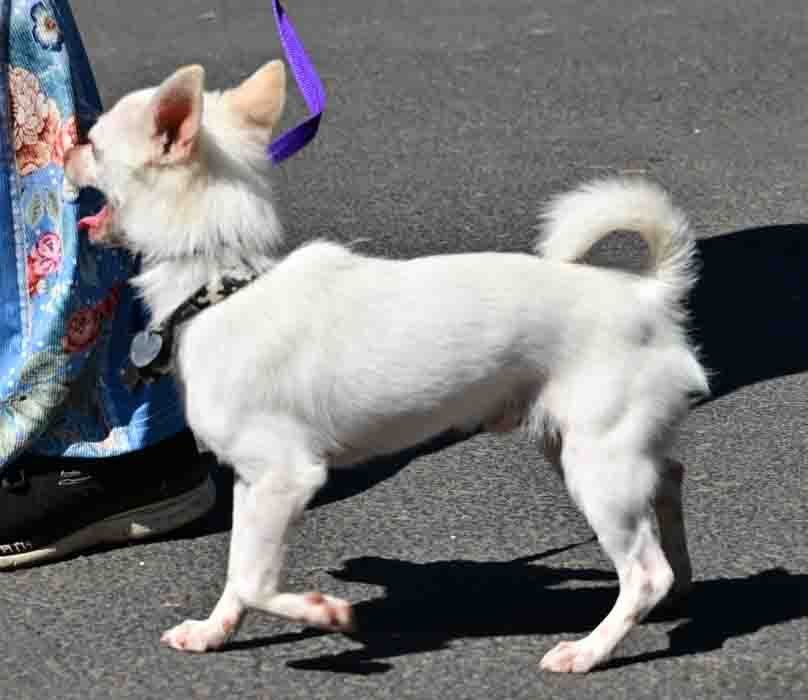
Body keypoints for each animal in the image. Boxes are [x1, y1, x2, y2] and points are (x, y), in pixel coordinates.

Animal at [63, 60, 708, 672]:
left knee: (643, 572)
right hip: (583, 445)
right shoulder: (252, 482)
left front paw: (325, 613)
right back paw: (679, 587)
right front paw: (213, 631)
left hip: (597, 465)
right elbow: (238, 572)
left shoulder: (285, 476)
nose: (65, 148)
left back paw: (590, 649)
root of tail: (648, 295)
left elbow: (254, 578)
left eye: (94, 145)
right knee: (669, 482)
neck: (221, 283)